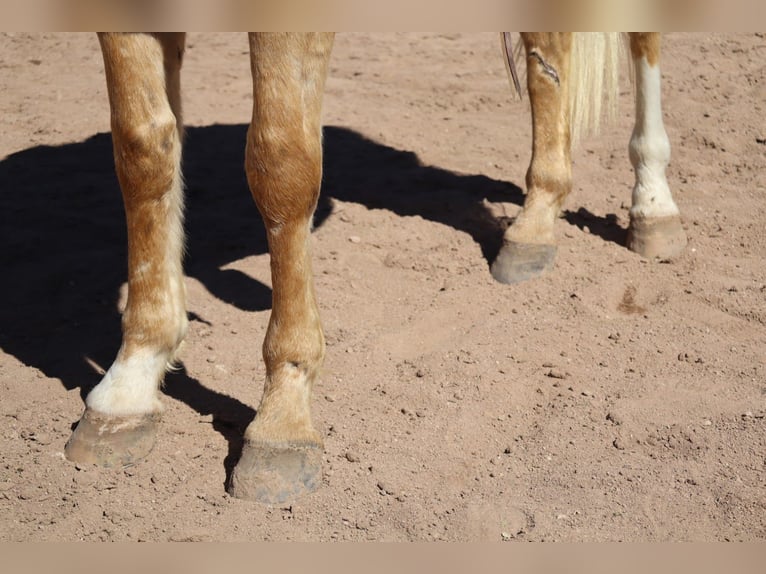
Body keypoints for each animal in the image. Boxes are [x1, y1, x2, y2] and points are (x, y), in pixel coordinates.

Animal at [63, 33, 686, 504]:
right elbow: (142, 149)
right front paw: (130, 383)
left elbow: (280, 161)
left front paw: (283, 414)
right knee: (546, 57)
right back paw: (534, 222)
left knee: (641, 42)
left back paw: (652, 207)